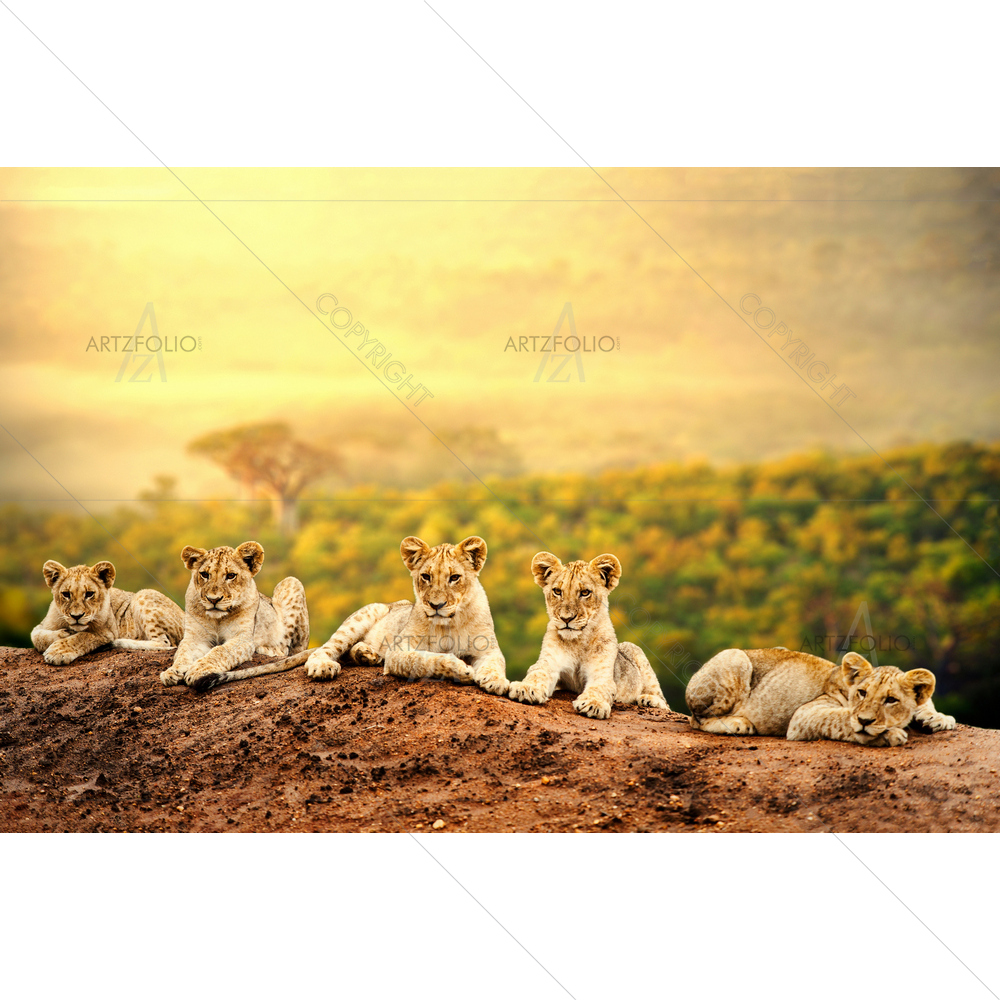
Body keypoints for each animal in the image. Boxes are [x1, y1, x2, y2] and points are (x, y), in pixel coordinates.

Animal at [31, 560, 184, 665]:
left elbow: (82, 637)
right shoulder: (42, 625)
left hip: (143, 594)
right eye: (66, 594)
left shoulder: (106, 631)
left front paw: (58, 652)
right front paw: (62, 634)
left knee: (166, 643)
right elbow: (36, 636)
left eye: (89, 594)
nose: (76, 616)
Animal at [159, 541, 310, 693]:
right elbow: (183, 653)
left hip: (291, 582)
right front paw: (173, 672)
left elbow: (220, 651)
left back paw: (267, 649)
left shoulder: (242, 638)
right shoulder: (195, 637)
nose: (213, 599)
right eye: (204, 574)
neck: (217, 619)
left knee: (286, 650)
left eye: (231, 575)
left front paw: (198, 669)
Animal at [304, 535, 509, 695]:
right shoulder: (398, 650)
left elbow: (495, 663)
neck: (449, 625)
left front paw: (497, 681)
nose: (436, 605)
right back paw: (323, 666)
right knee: (327, 649)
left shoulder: (487, 648)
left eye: (454, 577)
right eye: (426, 576)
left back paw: (367, 655)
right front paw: (459, 668)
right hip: (362, 617)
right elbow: (424, 659)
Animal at [507, 551, 669, 719]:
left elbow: (598, 688)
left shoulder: (602, 674)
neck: (577, 641)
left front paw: (593, 704)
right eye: (557, 591)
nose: (566, 618)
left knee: (664, 702)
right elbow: (537, 673)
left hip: (636, 652)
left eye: (585, 593)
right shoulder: (549, 663)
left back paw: (648, 700)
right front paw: (526, 688)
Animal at [686, 647, 956, 745]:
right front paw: (886, 733)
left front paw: (938, 718)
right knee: (695, 719)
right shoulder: (803, 716)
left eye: (891, 700)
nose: (865, 720)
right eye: (862, 693)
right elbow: (842, 718)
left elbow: (924, 701)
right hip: (737, 658)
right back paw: (738, 724)